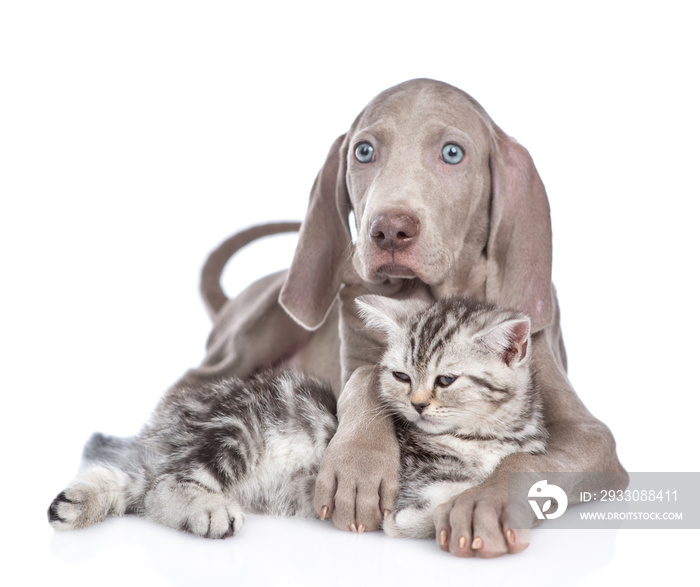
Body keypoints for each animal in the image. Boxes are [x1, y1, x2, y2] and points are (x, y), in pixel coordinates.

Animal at [47, 296, 548, 540]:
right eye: (402, 376)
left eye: (445, 380)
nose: (418, 404)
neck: (484, 437)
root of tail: (165, 424)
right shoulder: (413, 479)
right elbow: (445, 498)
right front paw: (411, 523)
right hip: (236, 429)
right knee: (163, 485)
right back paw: (208, 511)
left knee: (138, 482)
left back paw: (76, 503)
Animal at [189, 80, 628, 560]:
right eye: (363, 151)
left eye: (452, 153)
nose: (389, 230)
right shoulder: (356, 352)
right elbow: (365, 380)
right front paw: (358, 466)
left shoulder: (593, 437)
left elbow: (529, 459)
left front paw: (483, 503)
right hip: (259, 325)